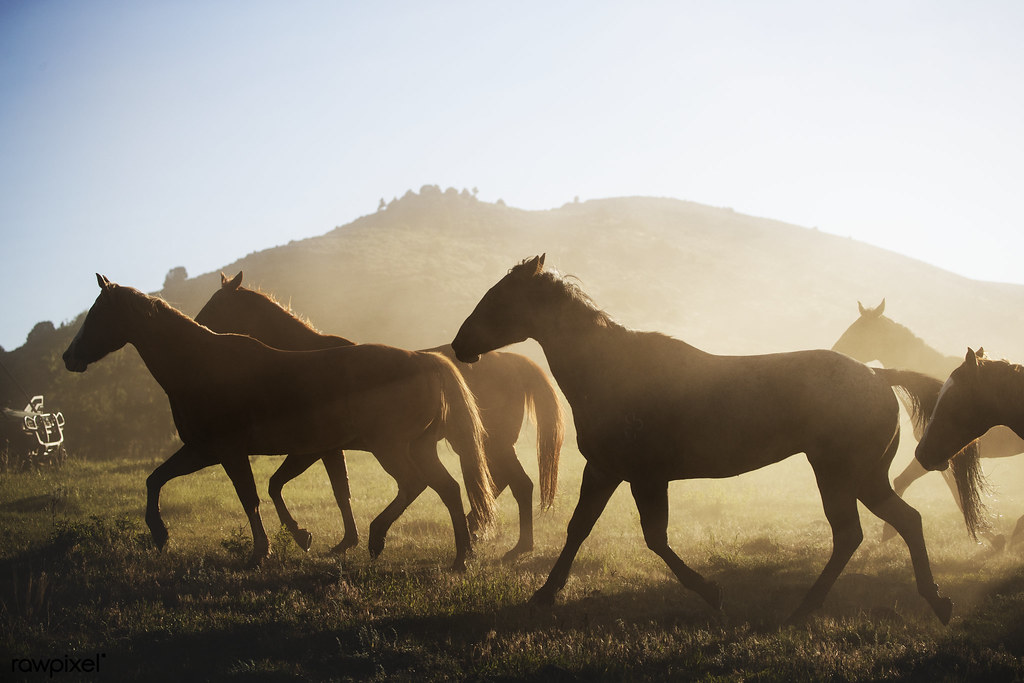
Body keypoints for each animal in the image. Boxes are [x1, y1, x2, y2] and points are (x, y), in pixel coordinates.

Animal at [62, 275, 495, 571]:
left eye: (97, 315)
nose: (68, 357)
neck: (202, 367)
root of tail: (426, 360)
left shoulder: (230, 452)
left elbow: (252, 497)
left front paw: (263, 551)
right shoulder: (205, 450)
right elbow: (156, 480)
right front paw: (160, 533)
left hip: (390, 448)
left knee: (414, 484)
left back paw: (378, 538)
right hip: (418, 447)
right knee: (448, 489)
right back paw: (460, 558)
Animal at [194, 271, 564, 562]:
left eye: (217, 304)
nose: (198, 326)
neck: (306, 358)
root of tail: (517, 363)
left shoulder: (320, 448)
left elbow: (329, 489)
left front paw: (341, 540)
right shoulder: (330, 449)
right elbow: (340, 490)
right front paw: (346, 541)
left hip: (487, 443)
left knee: (513, 484)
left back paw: (505, 543)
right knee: (505, 483)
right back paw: (488, 537)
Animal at [451, 255, 985, 624]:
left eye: (501, 297)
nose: (459, 344)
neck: (612, 369)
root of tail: (878, 377)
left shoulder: (642, 476)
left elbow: (654, 538)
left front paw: (711, 592)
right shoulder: (606, 470)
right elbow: (580, 528)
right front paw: (545, 593)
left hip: (841, 475)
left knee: (857, 533)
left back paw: (808, 609)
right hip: (862, 477)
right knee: (899, 523)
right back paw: (929, 602)